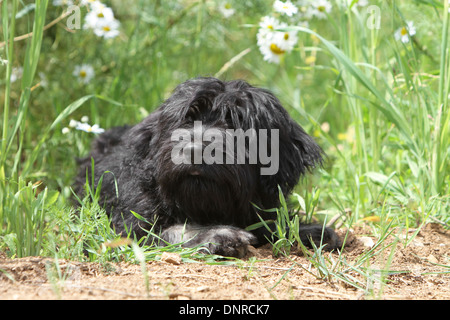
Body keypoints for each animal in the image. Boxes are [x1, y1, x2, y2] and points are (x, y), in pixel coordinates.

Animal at [75, 77, 340, 258]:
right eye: (186, 119)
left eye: (235, 122)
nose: (194, 150)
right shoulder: (128, 223)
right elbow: (169, 230)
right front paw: (218, 234)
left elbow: (273, 223)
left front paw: (309, 231)